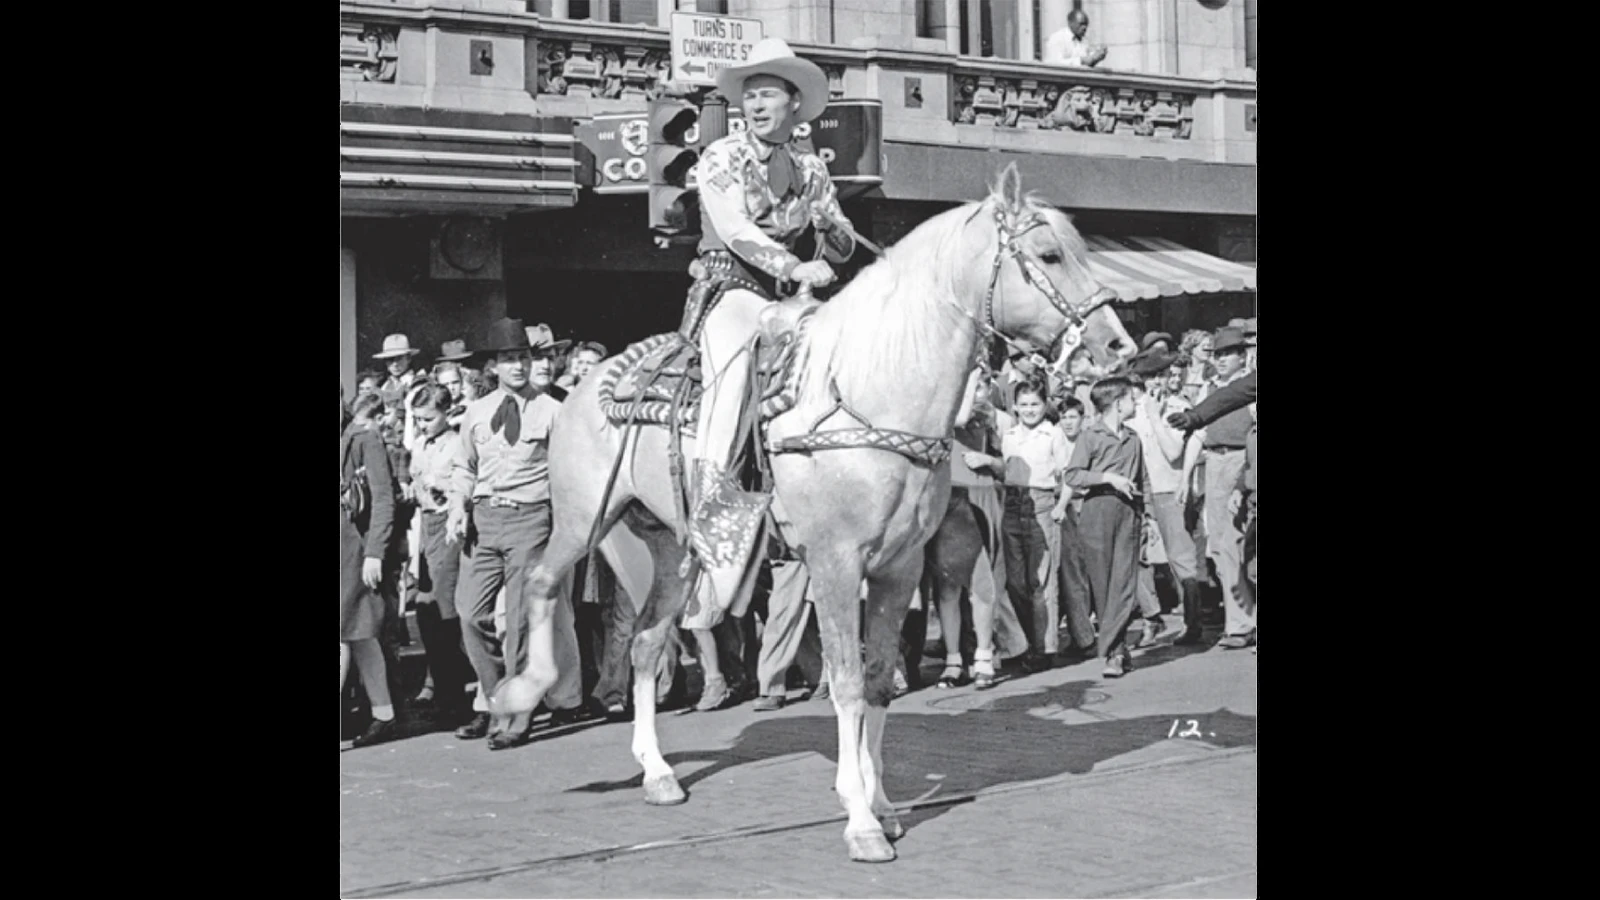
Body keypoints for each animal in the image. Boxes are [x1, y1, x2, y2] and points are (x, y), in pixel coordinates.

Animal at [491, 164, 1135, 863]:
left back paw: (658, 773)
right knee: (541, 582)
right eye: (1048, 255)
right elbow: (846, 681)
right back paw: (518, 694)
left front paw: (884, 806)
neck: (868, 392)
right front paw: (860, 820)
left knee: (644, 641)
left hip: (673, 550)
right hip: (584, 520)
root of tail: (586, 384)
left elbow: (878, 680)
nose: (1117, 347)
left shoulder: (899, 568)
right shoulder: (834, 564)